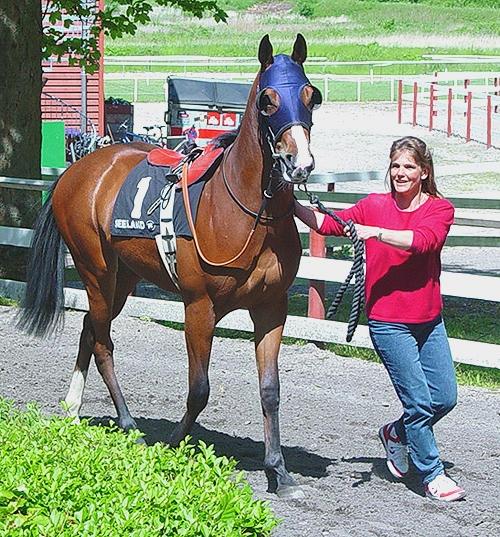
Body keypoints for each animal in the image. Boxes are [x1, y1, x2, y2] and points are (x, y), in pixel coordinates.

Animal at [18, 34, 322, 499]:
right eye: (268, 100)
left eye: (311, 95)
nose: (299, 163)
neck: (250, 213)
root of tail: (77, 170)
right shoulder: (198, 307)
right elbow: (200, 389)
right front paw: (175, 442)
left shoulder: (271, 308)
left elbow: (270, 390)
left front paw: (280, 471)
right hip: (95, 271)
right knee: (103, 343)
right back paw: (129, 424)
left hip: (123, 278)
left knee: (91, 328)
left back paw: (72, 406)